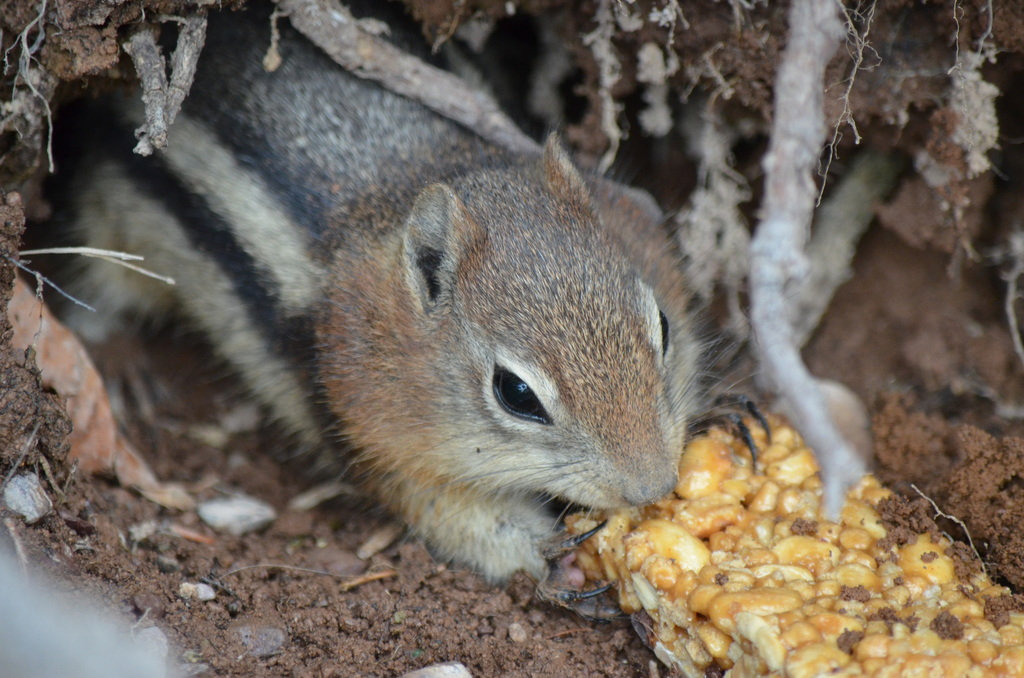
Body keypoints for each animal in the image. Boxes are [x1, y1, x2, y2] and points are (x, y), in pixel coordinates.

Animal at [55, 3, 703, 583]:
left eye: (664, 326)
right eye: (516, 393)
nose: (652, 486)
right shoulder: (364, 432)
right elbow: (448, 515)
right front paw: (542, 552)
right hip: (108, 223)